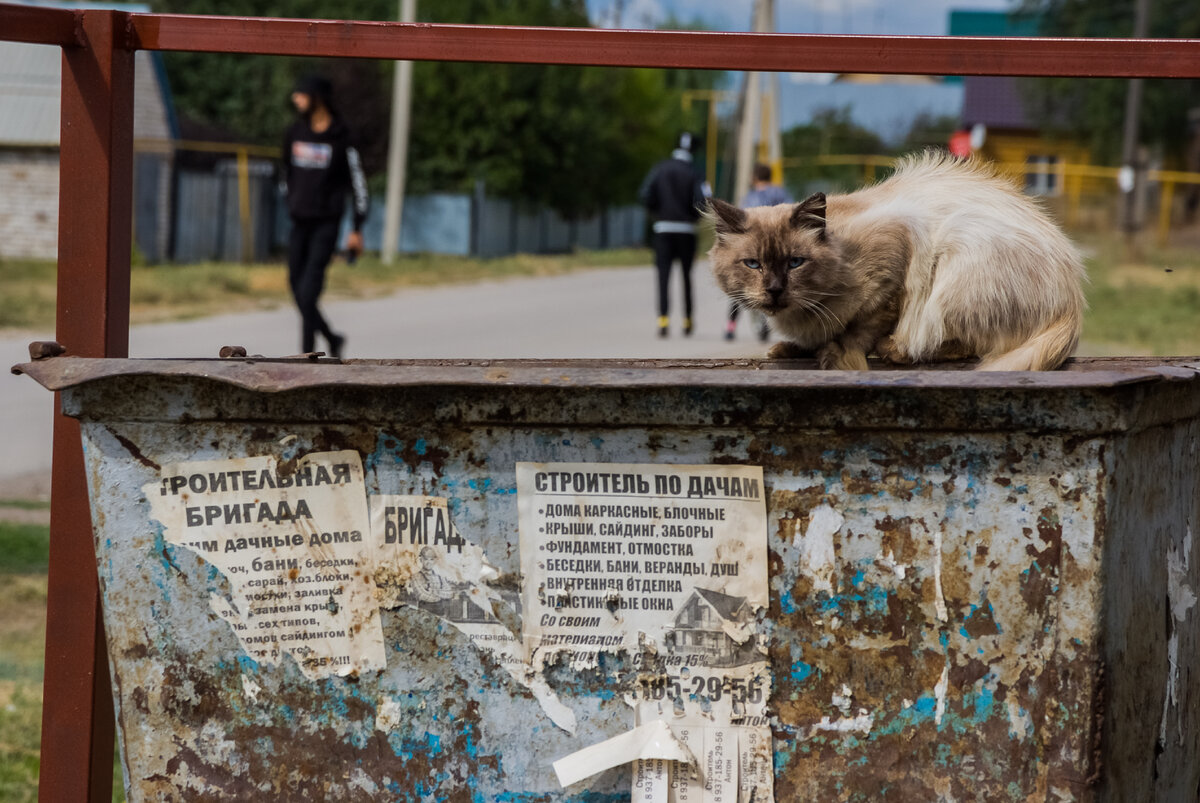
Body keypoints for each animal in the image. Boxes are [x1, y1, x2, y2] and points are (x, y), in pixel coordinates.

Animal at [705, 151, 1094, 372]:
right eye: (753, 264)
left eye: (795, 263)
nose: (774, 291)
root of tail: (1072, 307)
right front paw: (792, 348)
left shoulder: (895, 260)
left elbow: (861, 330)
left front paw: (838, 353)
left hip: (957, 249)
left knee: (954, 345)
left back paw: (893, 350)